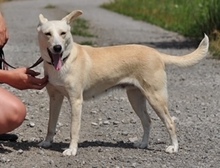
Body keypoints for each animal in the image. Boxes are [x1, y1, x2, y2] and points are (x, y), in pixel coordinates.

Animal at [37, 9, 210, 156]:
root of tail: (158, 54)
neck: (65, 60)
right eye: (47, 34)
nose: (57, 48)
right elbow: (51, 123)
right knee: (147, 121)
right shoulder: (55, 98)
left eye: (63, 33)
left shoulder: (76, 101)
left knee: (170, 122)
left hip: (156, 98)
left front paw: (72, 150)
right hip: (136, 98)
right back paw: (143, 144)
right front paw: (47, 142)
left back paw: (173, 147)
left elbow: (74, 129)